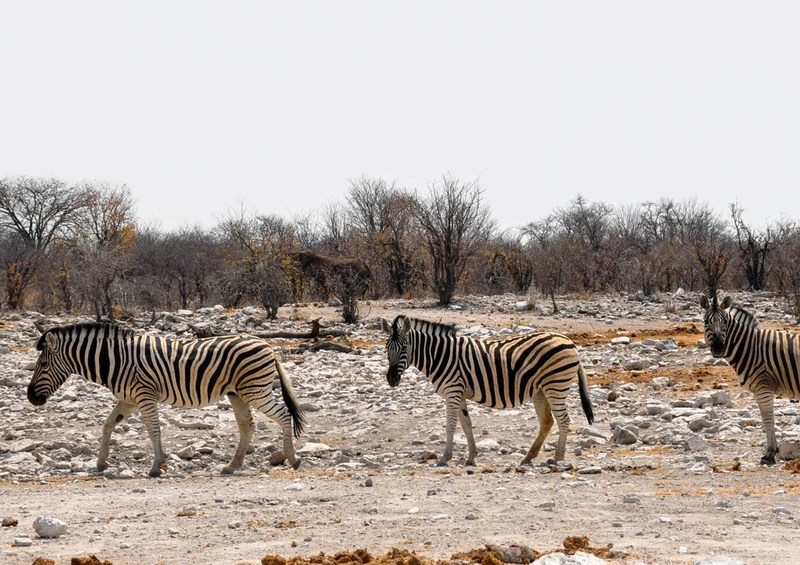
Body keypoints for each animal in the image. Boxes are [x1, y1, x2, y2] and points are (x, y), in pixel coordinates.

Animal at [27, 322, 306, 477]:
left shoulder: (144, 395)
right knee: (247, 425)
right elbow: (107, 425)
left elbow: (153, 430)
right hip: (237, 392)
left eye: (42, 365)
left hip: (255, 389)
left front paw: (156, 466)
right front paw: (101, 462)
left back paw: (293, 459)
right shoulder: (128, 399)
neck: (116, 360)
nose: (30, 398)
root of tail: (266, 344)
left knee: (283, 415)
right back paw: (231, 466)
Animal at [381, 315, 594, 466]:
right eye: (386, 348)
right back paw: (528, 457)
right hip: (540, 390)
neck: (439, 355)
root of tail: (569, 340)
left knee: (563, 420)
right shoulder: (459, 394)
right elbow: (466, 425)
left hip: (555, 386)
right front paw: (471, 457)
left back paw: (557, 458)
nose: (391, 379)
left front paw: (445, 457)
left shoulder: (453, 392)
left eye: (405, 347)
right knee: (547, 422)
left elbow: (451, 426)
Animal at [701, 293, 800, 465]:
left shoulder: (763, 387)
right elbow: (768, 419)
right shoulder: (759, 390)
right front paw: (773, 450)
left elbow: (767, 419)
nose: (719, 348)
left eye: (724, 321)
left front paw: (769, 454)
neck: (750, 348)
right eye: (706, 321)